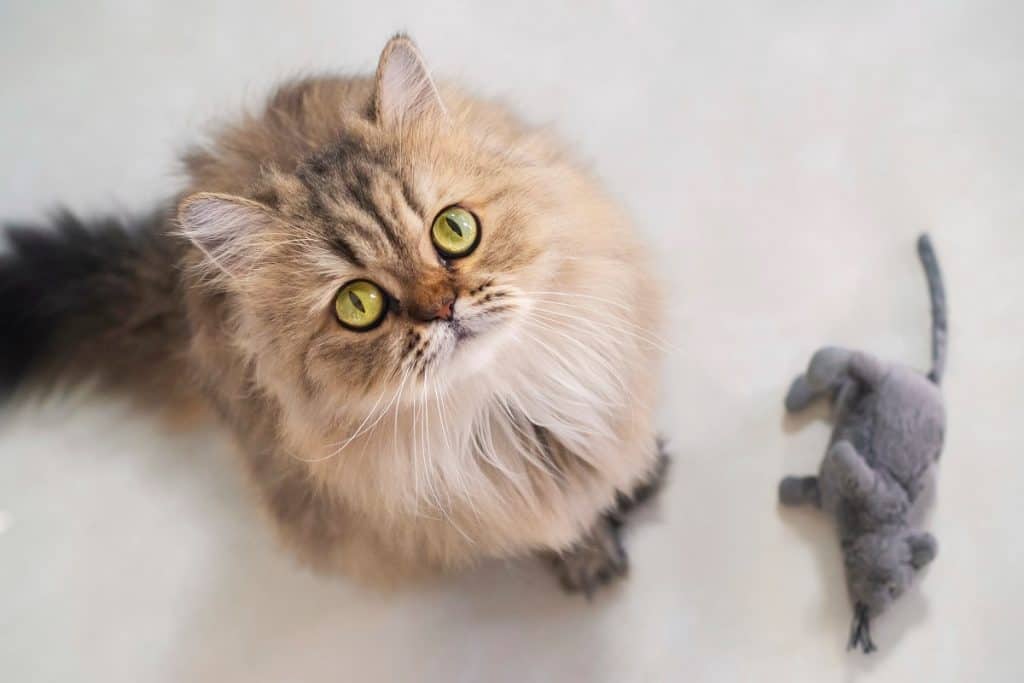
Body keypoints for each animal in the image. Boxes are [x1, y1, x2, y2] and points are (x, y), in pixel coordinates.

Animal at [0, 36, 667, 593]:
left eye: (454, 230)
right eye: (359, 304)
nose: (442, 307)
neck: (507, 411)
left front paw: (634, 486)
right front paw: (586, 552)